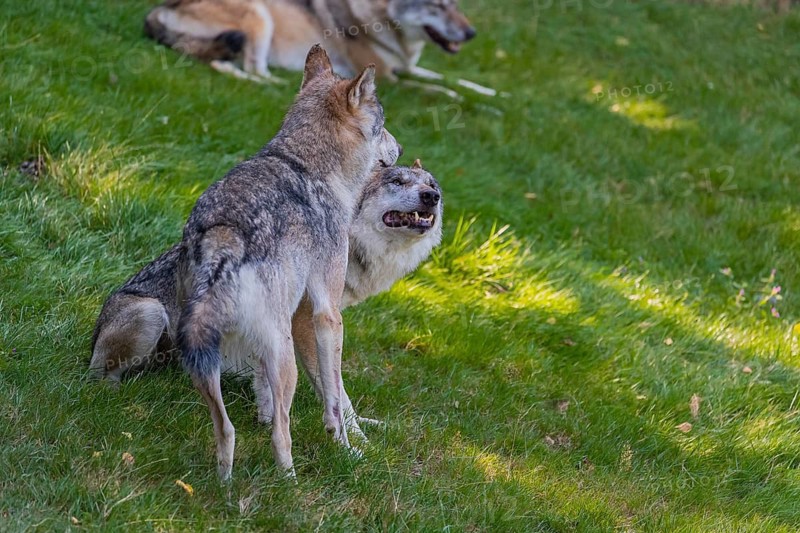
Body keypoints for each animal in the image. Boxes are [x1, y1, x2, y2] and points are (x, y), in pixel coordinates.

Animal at [90, 161, 443, 442]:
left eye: (432, 184)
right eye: (396, 181)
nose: (432, 197)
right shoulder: (303, 320)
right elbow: (336, 390)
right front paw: (356, 441)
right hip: (150, 314)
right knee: (100, 377)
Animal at [144, 0, 498, 96]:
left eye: (455, 5)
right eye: (438, 7)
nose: (471, 33)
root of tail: (157, 11)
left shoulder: (406, 67)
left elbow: (454, 80)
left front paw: (496, 95)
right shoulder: (389, 79)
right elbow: (439, 91)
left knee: (226, 65)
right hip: (260, 18)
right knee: (251, 68)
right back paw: (279, 84)